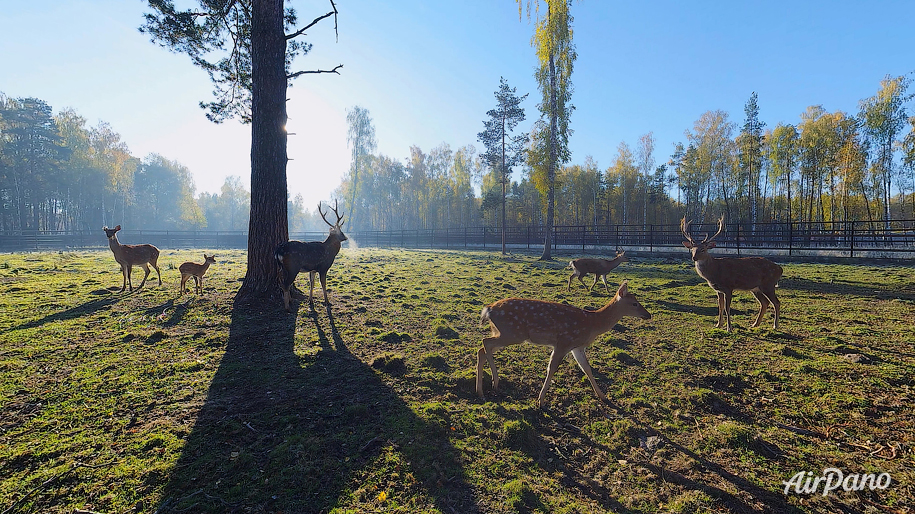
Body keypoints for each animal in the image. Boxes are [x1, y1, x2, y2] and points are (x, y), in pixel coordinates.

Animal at [480, 280, 652, 408]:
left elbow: (586, 368)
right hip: (512, 333)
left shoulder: (577, 347)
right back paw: (494, 383)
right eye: (635, 303)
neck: (592, 324)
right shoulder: (563, 342)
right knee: (485, 343)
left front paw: (603, 396)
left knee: (482, 349)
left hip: (503, 332)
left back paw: (482, 390)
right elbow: (551, 368)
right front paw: (540, 401)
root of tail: (488, 309)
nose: (648, 315)